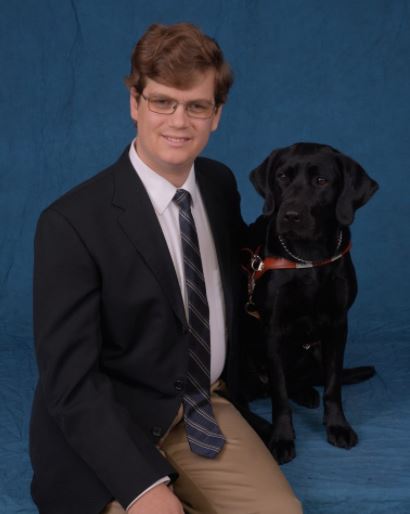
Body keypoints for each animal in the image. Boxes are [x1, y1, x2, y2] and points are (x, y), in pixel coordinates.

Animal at [242, 142, 380, 462]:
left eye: (321, 181)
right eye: (282, 176)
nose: (290, 215)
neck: (309, 258)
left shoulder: (338, 325)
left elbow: (333, 383)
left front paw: (338, 426)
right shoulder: (273, 328)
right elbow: (280, 394)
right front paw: (281, 437)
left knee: (306, 378)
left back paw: (306, 392)